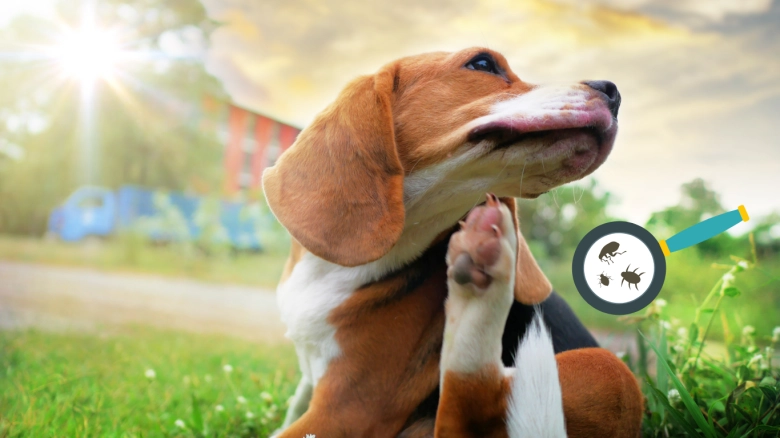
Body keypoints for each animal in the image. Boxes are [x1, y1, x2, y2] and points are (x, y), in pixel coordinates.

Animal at [262, 46, 640, 436]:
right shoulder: (318, 391)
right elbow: (293, 408)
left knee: (467, 413)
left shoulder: (348, 410)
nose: (613, 92)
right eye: (483, 63)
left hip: (607, 368)